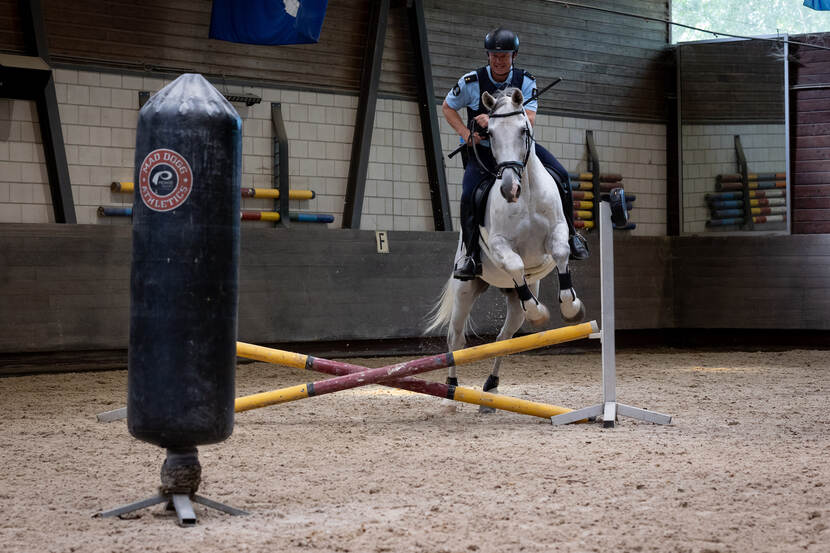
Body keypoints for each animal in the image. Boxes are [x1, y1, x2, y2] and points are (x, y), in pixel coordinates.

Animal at [428, 86, 584, 410]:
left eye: (524, 129)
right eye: (490, 133)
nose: (509, 189)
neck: (527, 195)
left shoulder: (558, 232)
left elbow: (562, 254)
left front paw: (570, 306)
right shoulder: (500, 244)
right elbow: (515, 264)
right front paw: (540, 314)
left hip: (512, 301)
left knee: (504, 338)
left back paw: (491, 388)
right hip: (466, 289)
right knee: (455, 339)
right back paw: (451, 392)